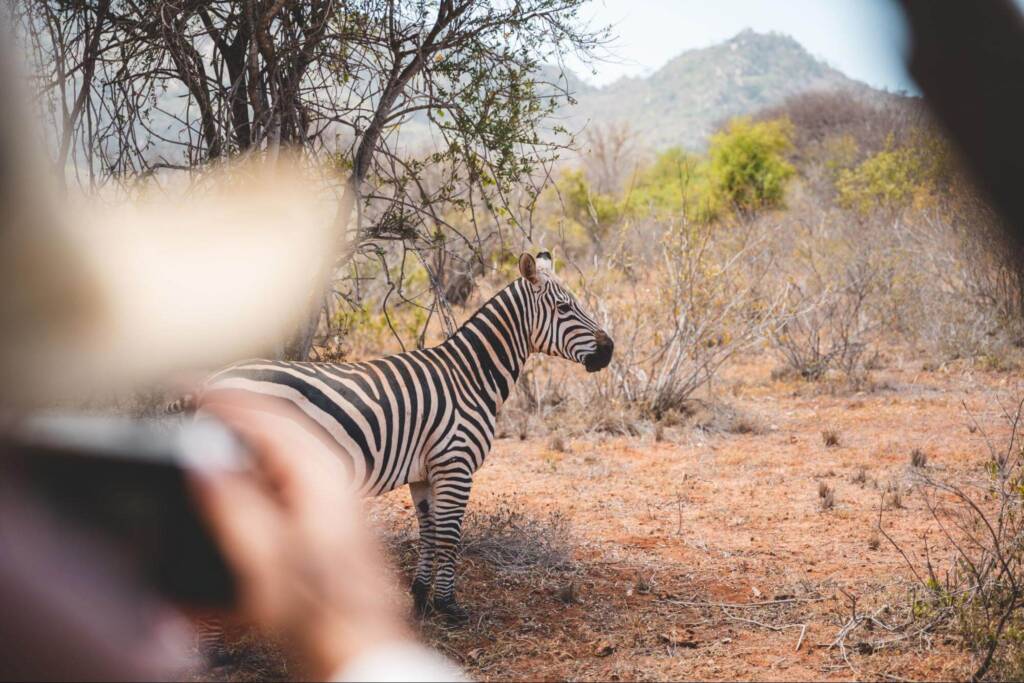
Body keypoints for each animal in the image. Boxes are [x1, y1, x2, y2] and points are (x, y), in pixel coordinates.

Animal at [192, 252, 610, 626]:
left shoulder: (424, 472)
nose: (609, 350)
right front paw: (449, 606)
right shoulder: (455, 464)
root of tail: (212, 386)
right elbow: (450, 537)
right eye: (564, 308)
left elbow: (429, 533)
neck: (470, 376)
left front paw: (421, 599)